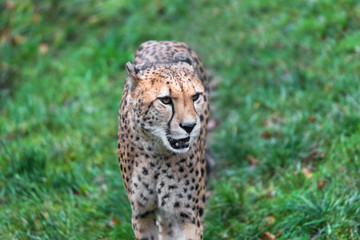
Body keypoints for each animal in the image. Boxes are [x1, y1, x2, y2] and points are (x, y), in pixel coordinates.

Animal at [117, 41, 208, 240]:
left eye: (195, 96)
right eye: (165, 100)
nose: (190, 126)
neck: (157, 153)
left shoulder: (188, 214)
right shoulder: (141, 212)